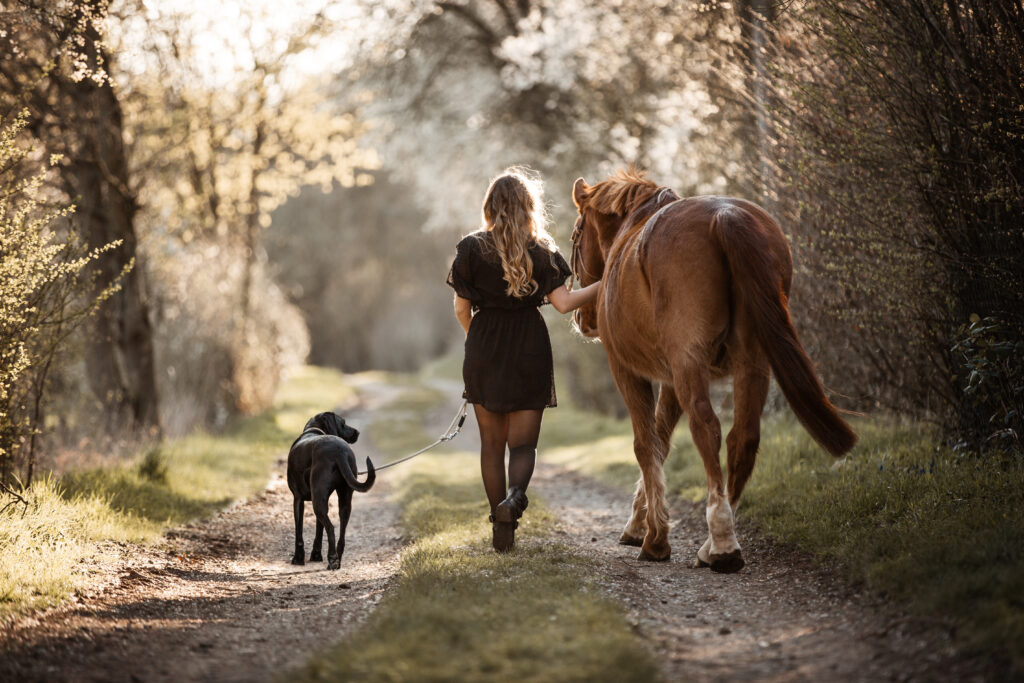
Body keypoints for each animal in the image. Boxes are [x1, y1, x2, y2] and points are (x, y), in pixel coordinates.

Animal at [286, 413, 374, 569]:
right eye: (343, 423)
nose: (357, 432)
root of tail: (340, 451)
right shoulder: (322, 499)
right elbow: (319, 530)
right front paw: (316, 555)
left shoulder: (298, 499)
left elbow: (299, 531)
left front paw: (298, 558)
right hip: (343, 500)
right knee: (341, 532)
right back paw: (337, 559)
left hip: (317, 503)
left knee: (331, 528)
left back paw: (332, 559)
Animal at [569, 169, 856, 573]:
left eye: (576, 234)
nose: (583, 318)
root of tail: (725, 215)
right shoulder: (671, 380)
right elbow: (661, 442)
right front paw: (640, 524)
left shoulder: (628, 370)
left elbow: (645, 445)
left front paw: (654, 538)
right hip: (751, 361)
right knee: (742, 437)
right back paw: (716, 540)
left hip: (691, 362)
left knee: (707, 428)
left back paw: (720, 543)